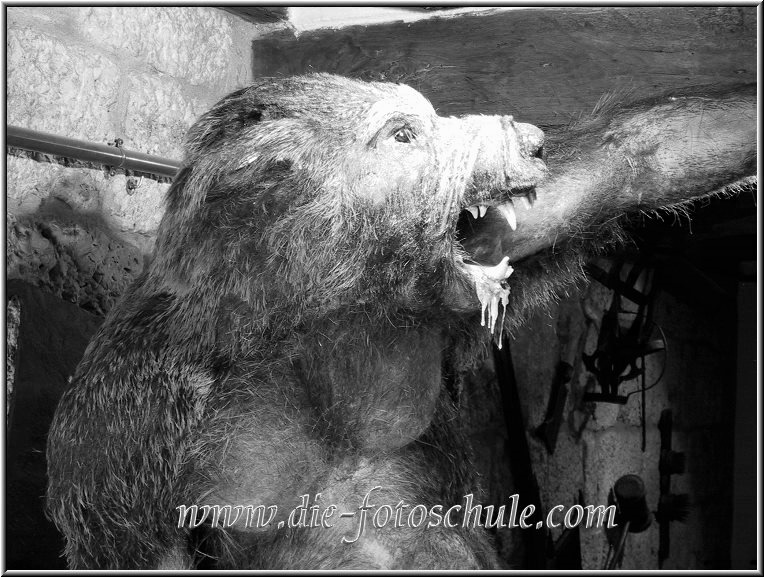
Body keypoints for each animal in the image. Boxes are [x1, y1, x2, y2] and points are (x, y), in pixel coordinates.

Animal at [47, 73, 760, 568]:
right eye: (401, 135)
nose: (531, 141)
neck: (319, 308)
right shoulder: (122, 425)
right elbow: (147, 550)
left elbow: (629, 159)